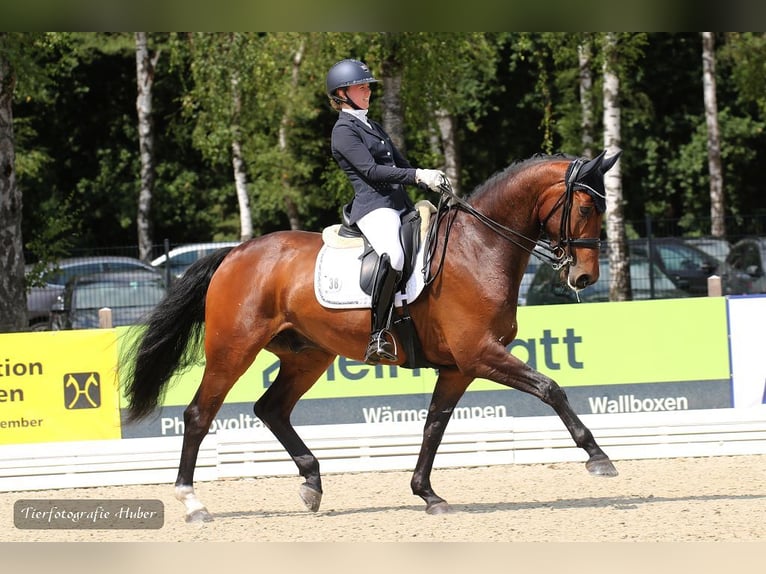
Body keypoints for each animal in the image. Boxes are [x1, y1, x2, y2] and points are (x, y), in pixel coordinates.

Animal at [120, 147, 624, 520]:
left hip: (308, 355)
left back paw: (312, 483)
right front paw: (598, 458)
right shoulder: (481, 354)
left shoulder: (460, 367)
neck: (480, 247)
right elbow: (550, 388)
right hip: (233, 350)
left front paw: (427, 493)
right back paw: (193, 502)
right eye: (585, 207)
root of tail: (235, 252)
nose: (584, 278)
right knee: (199, 415)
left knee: (272, 409)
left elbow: (434, 425)